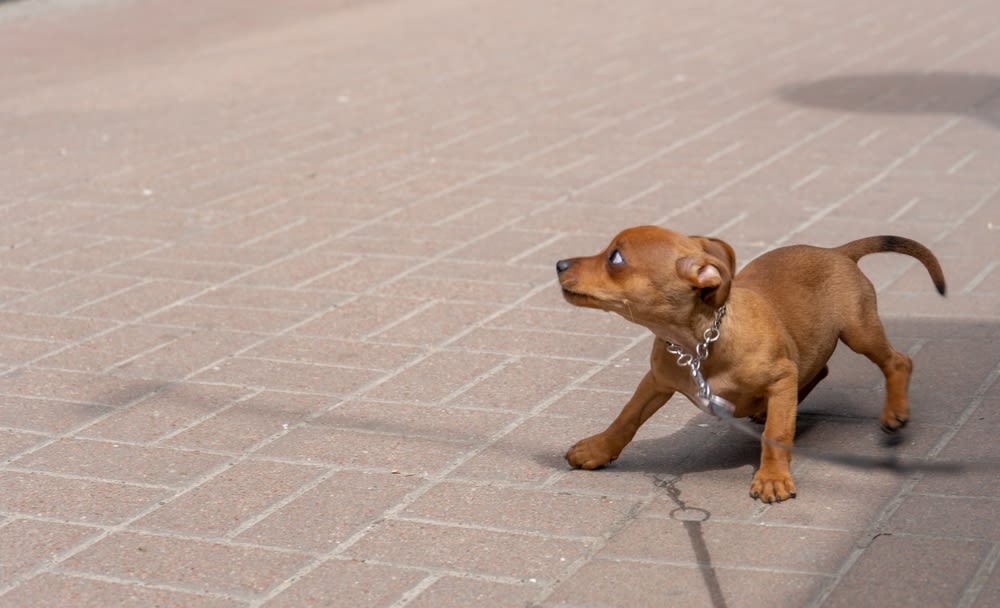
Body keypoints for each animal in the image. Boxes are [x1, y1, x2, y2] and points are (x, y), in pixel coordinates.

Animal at [556, 226, 944, 502]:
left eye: (615, 258)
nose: (558, 264)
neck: (699, 346)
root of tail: (837, 252)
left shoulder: (780, 378)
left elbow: (777, 433)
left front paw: (772, 478)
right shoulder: (656, 381)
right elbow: (626, 417)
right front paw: (597, 450)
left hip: (859, 330)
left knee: (898, 361)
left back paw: (894, 411)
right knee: (818, 370)